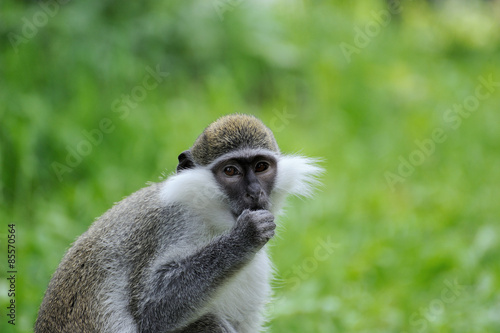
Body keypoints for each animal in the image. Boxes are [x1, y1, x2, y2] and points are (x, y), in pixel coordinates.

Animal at [36, 114, 324, 332]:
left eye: (261, 167)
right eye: (231, 171)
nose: (254, 193)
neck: (210, 217)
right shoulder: (169, 225)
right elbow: (150, 312)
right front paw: (244, 237)